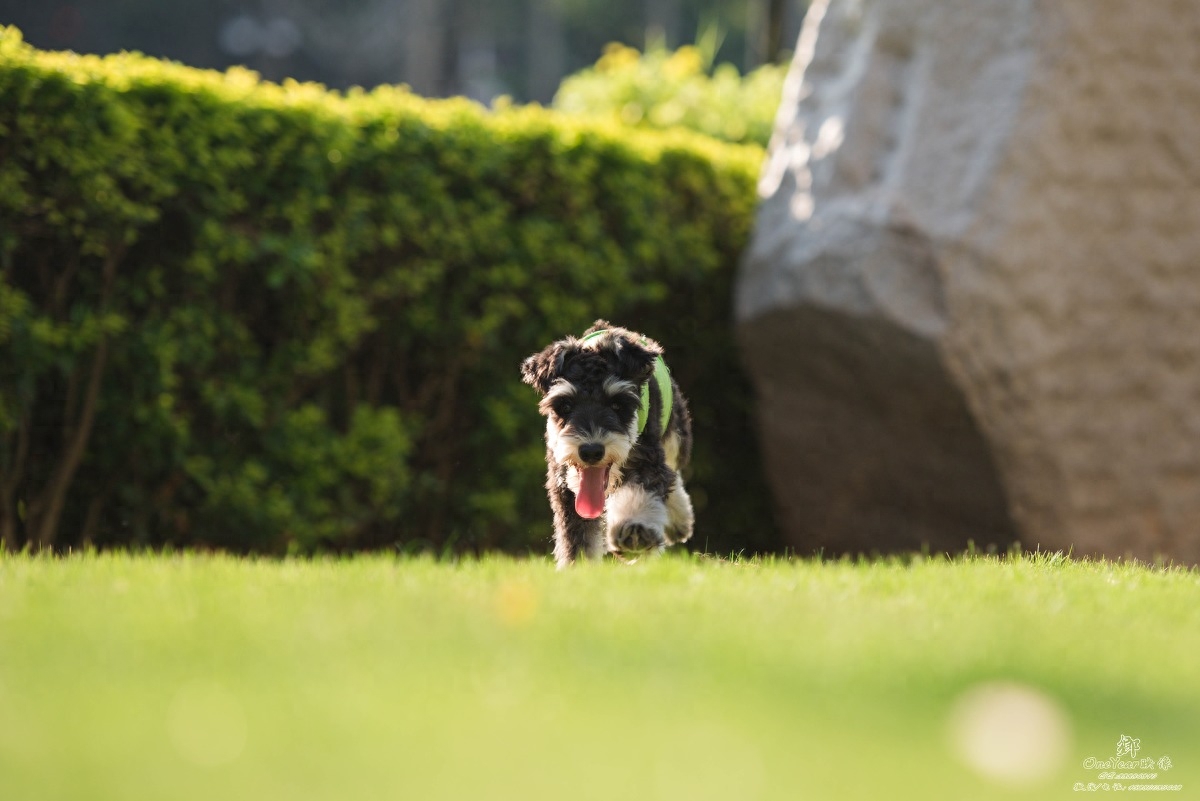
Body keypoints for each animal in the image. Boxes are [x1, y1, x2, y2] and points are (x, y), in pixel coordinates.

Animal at [523, 316, 700, 565]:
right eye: (565, 405)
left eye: (617, 404)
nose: (591, 451)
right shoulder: (564, 485)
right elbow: (577, 538)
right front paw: (579, 567)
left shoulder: (648, 460)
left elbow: (645, 489)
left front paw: (634, 531)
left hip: (675, 435)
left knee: (673, 471)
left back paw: (678, 520)